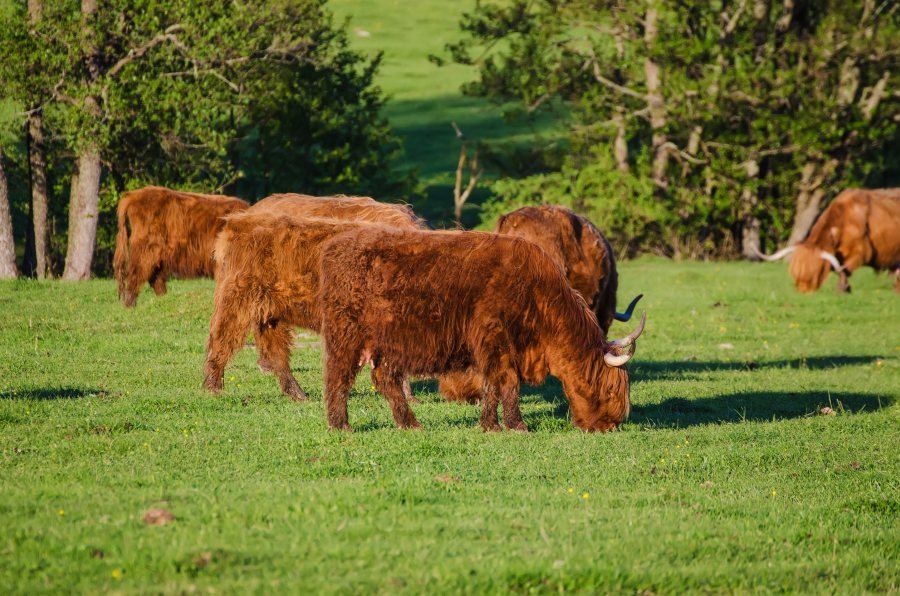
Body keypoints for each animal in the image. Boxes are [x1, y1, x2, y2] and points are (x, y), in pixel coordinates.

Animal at [116, 186, 251, 308]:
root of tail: (133, 195)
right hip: (147, 248)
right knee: (136, 273)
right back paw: (130, 305)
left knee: (155, 277)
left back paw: (164, 298)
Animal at [318, 229, 648, 434]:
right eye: (609, 390)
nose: (610, 426)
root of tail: (336, 245)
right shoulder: (496, 339)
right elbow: (508, 384)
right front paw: (516, 425)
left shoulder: (495, 349)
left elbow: (494, 386)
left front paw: (490, 425)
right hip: (346, 335)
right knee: (339, 376)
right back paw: (340, 424)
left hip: (388, 344)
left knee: (385, 379)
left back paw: (409, 423)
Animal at [756, 187, 896, 292]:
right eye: (795, 273)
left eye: (814, 274)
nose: (803, 291)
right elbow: (839, 269)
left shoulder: (862, 252)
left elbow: (843, 270)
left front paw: (843, 289)